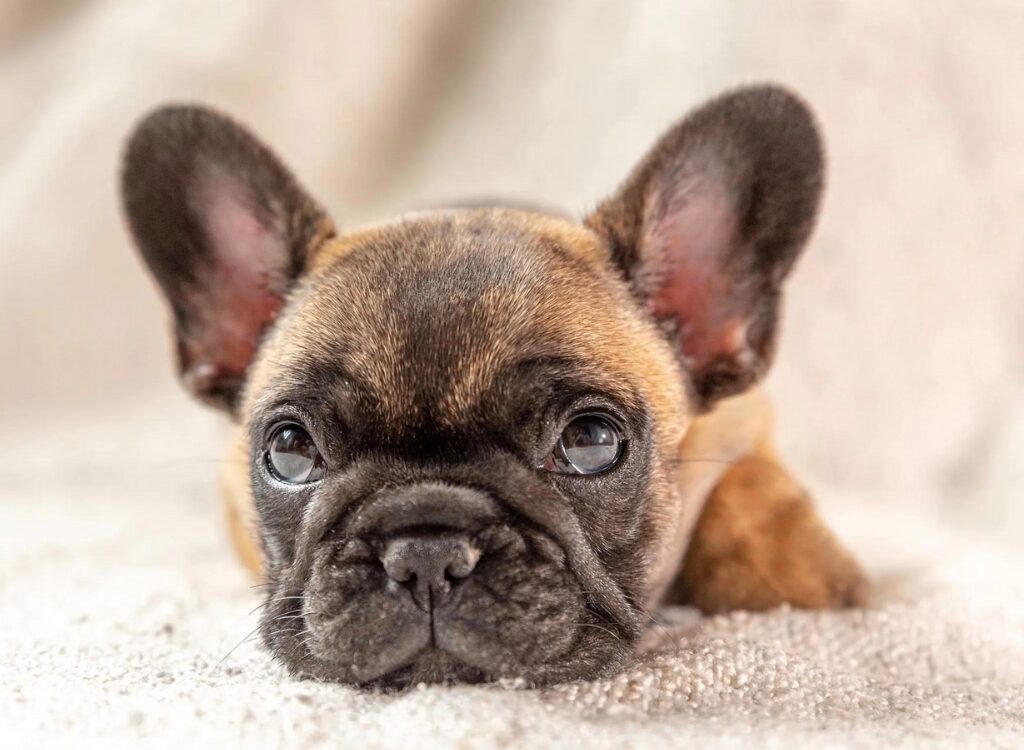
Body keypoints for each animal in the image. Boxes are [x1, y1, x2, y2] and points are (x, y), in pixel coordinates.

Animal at [123, 85, 868, 688]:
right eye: (290, 451)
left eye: (592, 442)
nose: (425, 552)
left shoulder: (748, 419)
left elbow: (751, 493)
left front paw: (798, 571)